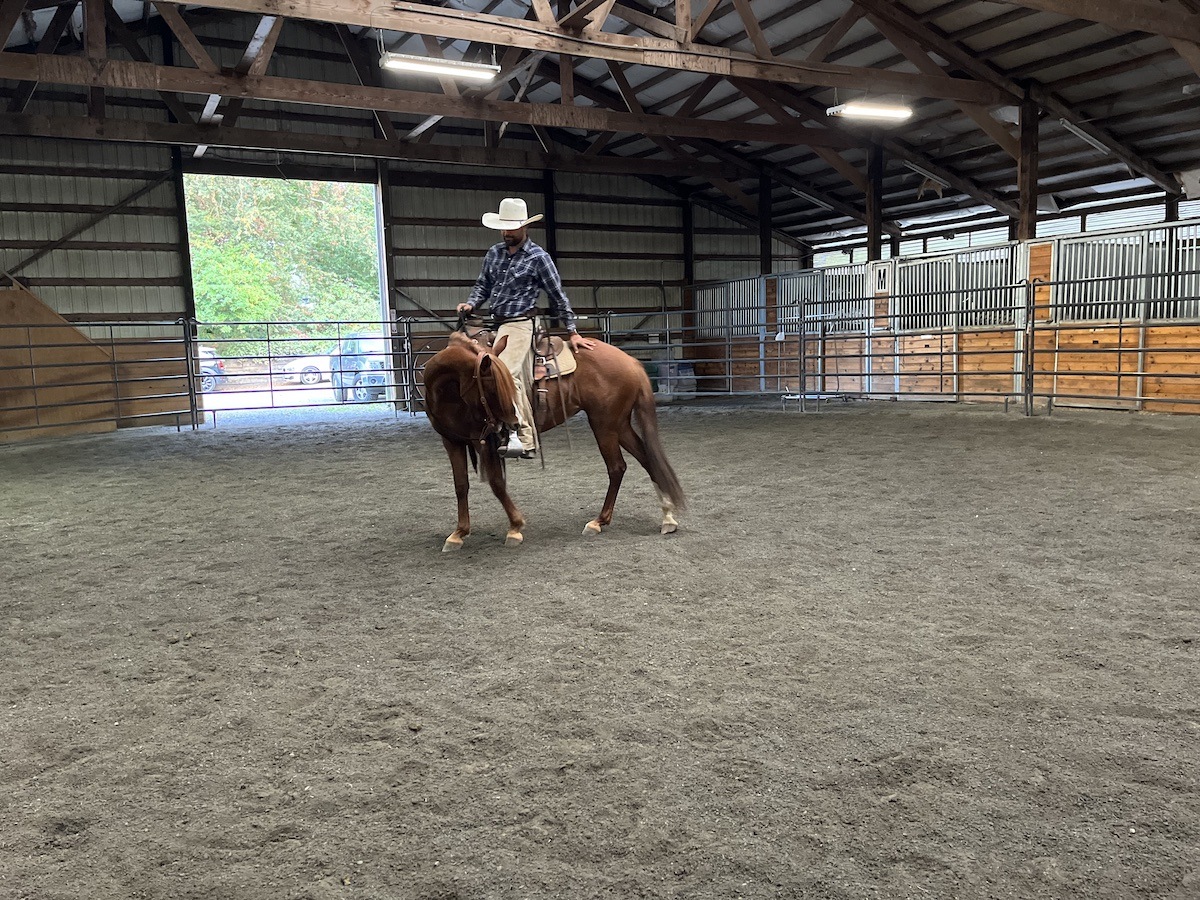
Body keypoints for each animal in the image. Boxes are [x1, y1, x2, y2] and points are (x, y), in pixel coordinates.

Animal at [422, 326, 686, 549]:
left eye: (504, 385)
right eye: (492, 388)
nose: (512, 424)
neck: (449, 394)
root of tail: (631, 361)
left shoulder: (483, 441)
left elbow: (497, 483)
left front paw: (515, 527)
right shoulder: (452, 441)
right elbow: (460, 485)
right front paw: (458, 533)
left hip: (604, 424)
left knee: (617, 467)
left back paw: (598, 521)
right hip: (618, 425)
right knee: (647, 459)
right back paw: (667, 517)